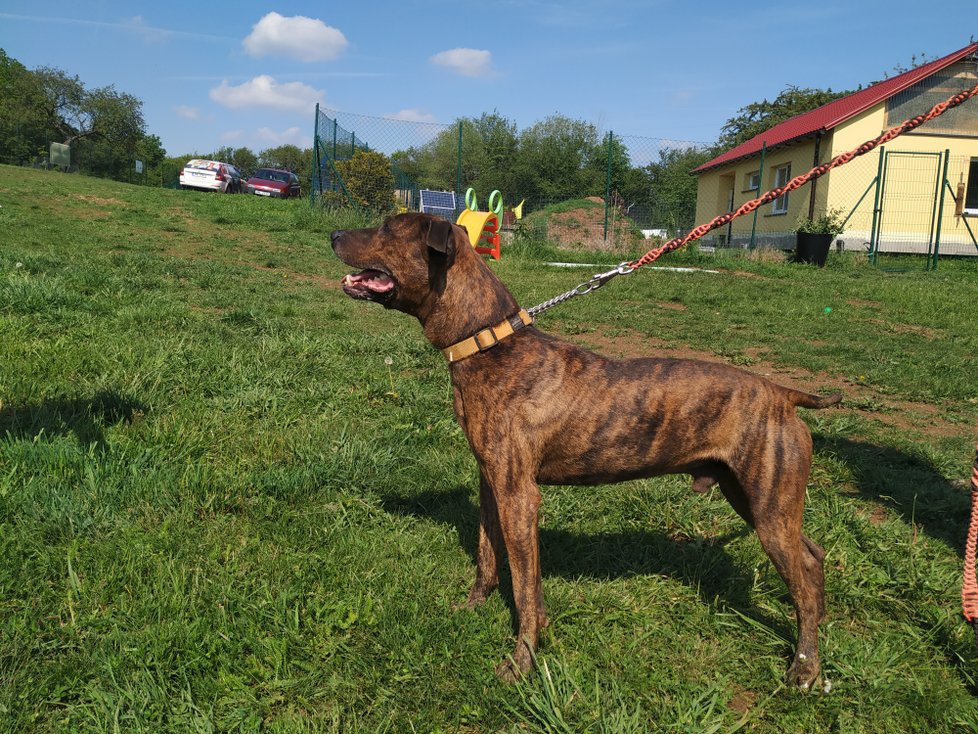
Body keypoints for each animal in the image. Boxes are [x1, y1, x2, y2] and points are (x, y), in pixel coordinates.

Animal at [330, 213, 840, 688]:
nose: (333, 234)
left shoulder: (519, 496)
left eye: (387, 228)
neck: (486, 344)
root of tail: (782, 394)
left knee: (802, 575)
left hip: (768, 508)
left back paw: (805, 666)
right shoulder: (491, 482)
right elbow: (486, 556)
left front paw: (522, 661)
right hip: (754, 498)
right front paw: (473, 608)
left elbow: (525, 588)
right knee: (813, 558)